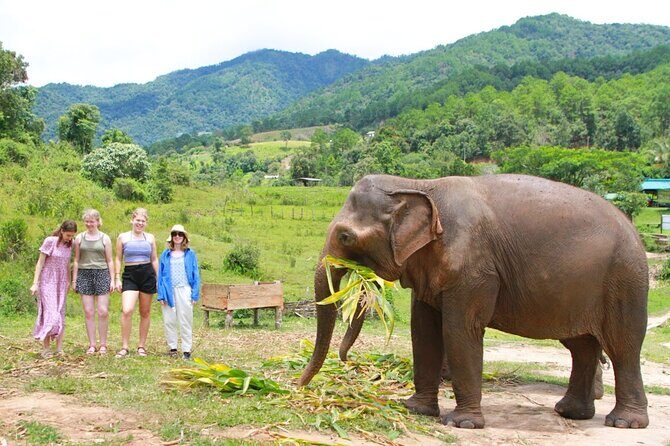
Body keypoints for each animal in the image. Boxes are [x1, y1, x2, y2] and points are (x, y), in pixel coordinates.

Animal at [298, 174, 648, 429]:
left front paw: (462, 423)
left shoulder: (474, 268)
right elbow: (423, 330)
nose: (299, 386)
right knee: (582, 346)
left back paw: (624, 422)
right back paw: (570, 412)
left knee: (623, 347)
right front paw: (416, 410)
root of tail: (634, 230)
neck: (420, 184)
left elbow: (459, 330)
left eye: (345, 237)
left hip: (624, 281)